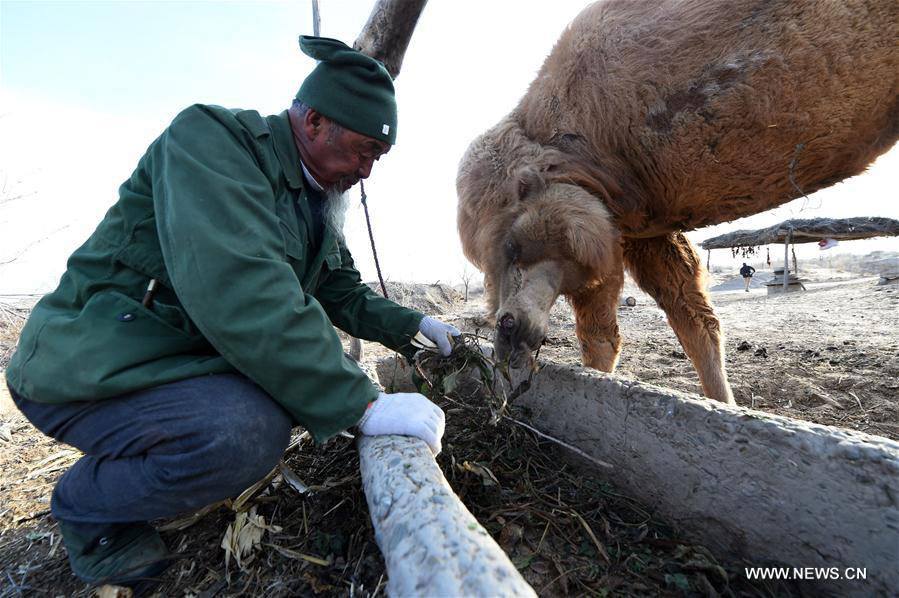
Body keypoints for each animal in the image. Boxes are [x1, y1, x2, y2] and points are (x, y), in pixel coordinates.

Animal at [460, 0, 896, 406]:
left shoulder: (603, 225)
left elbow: (600, 335)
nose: (506, 334)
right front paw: (725, 405)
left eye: (513, 244)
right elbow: (696, 321)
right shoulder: (641, 228)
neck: (573, 153)